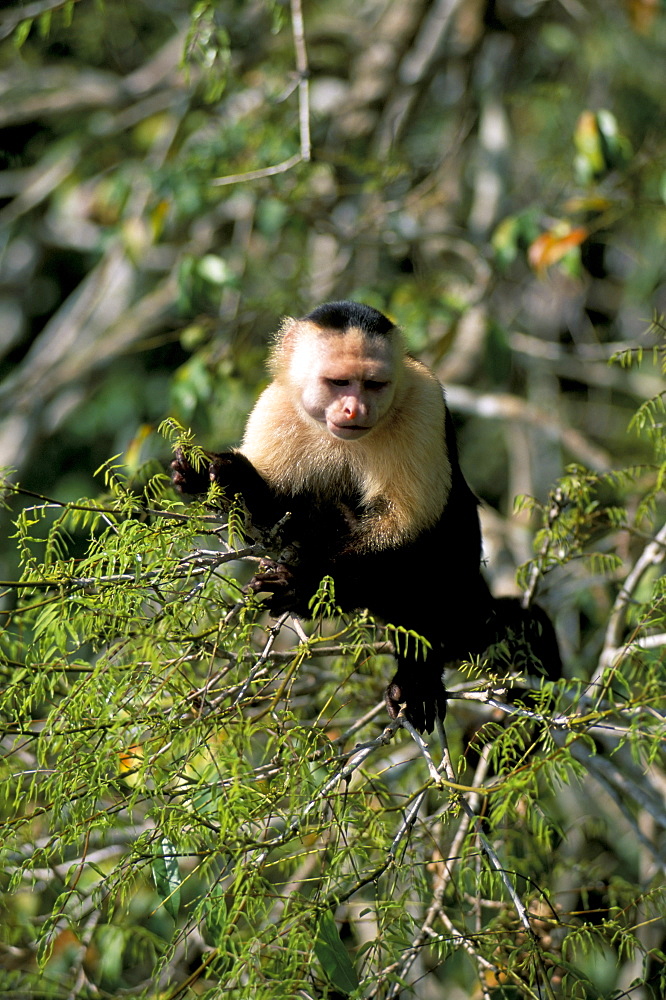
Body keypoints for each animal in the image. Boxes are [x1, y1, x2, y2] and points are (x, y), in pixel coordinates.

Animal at [170, 300, 556, 732]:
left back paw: (416, 675)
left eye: (372, 384)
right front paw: (214, 475)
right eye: (339, 383)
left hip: (460, 600)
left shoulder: (423, 401)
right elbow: (271, 517)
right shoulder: (275, 407)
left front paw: (306, 584)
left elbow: (411, 532)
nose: (355, 408)